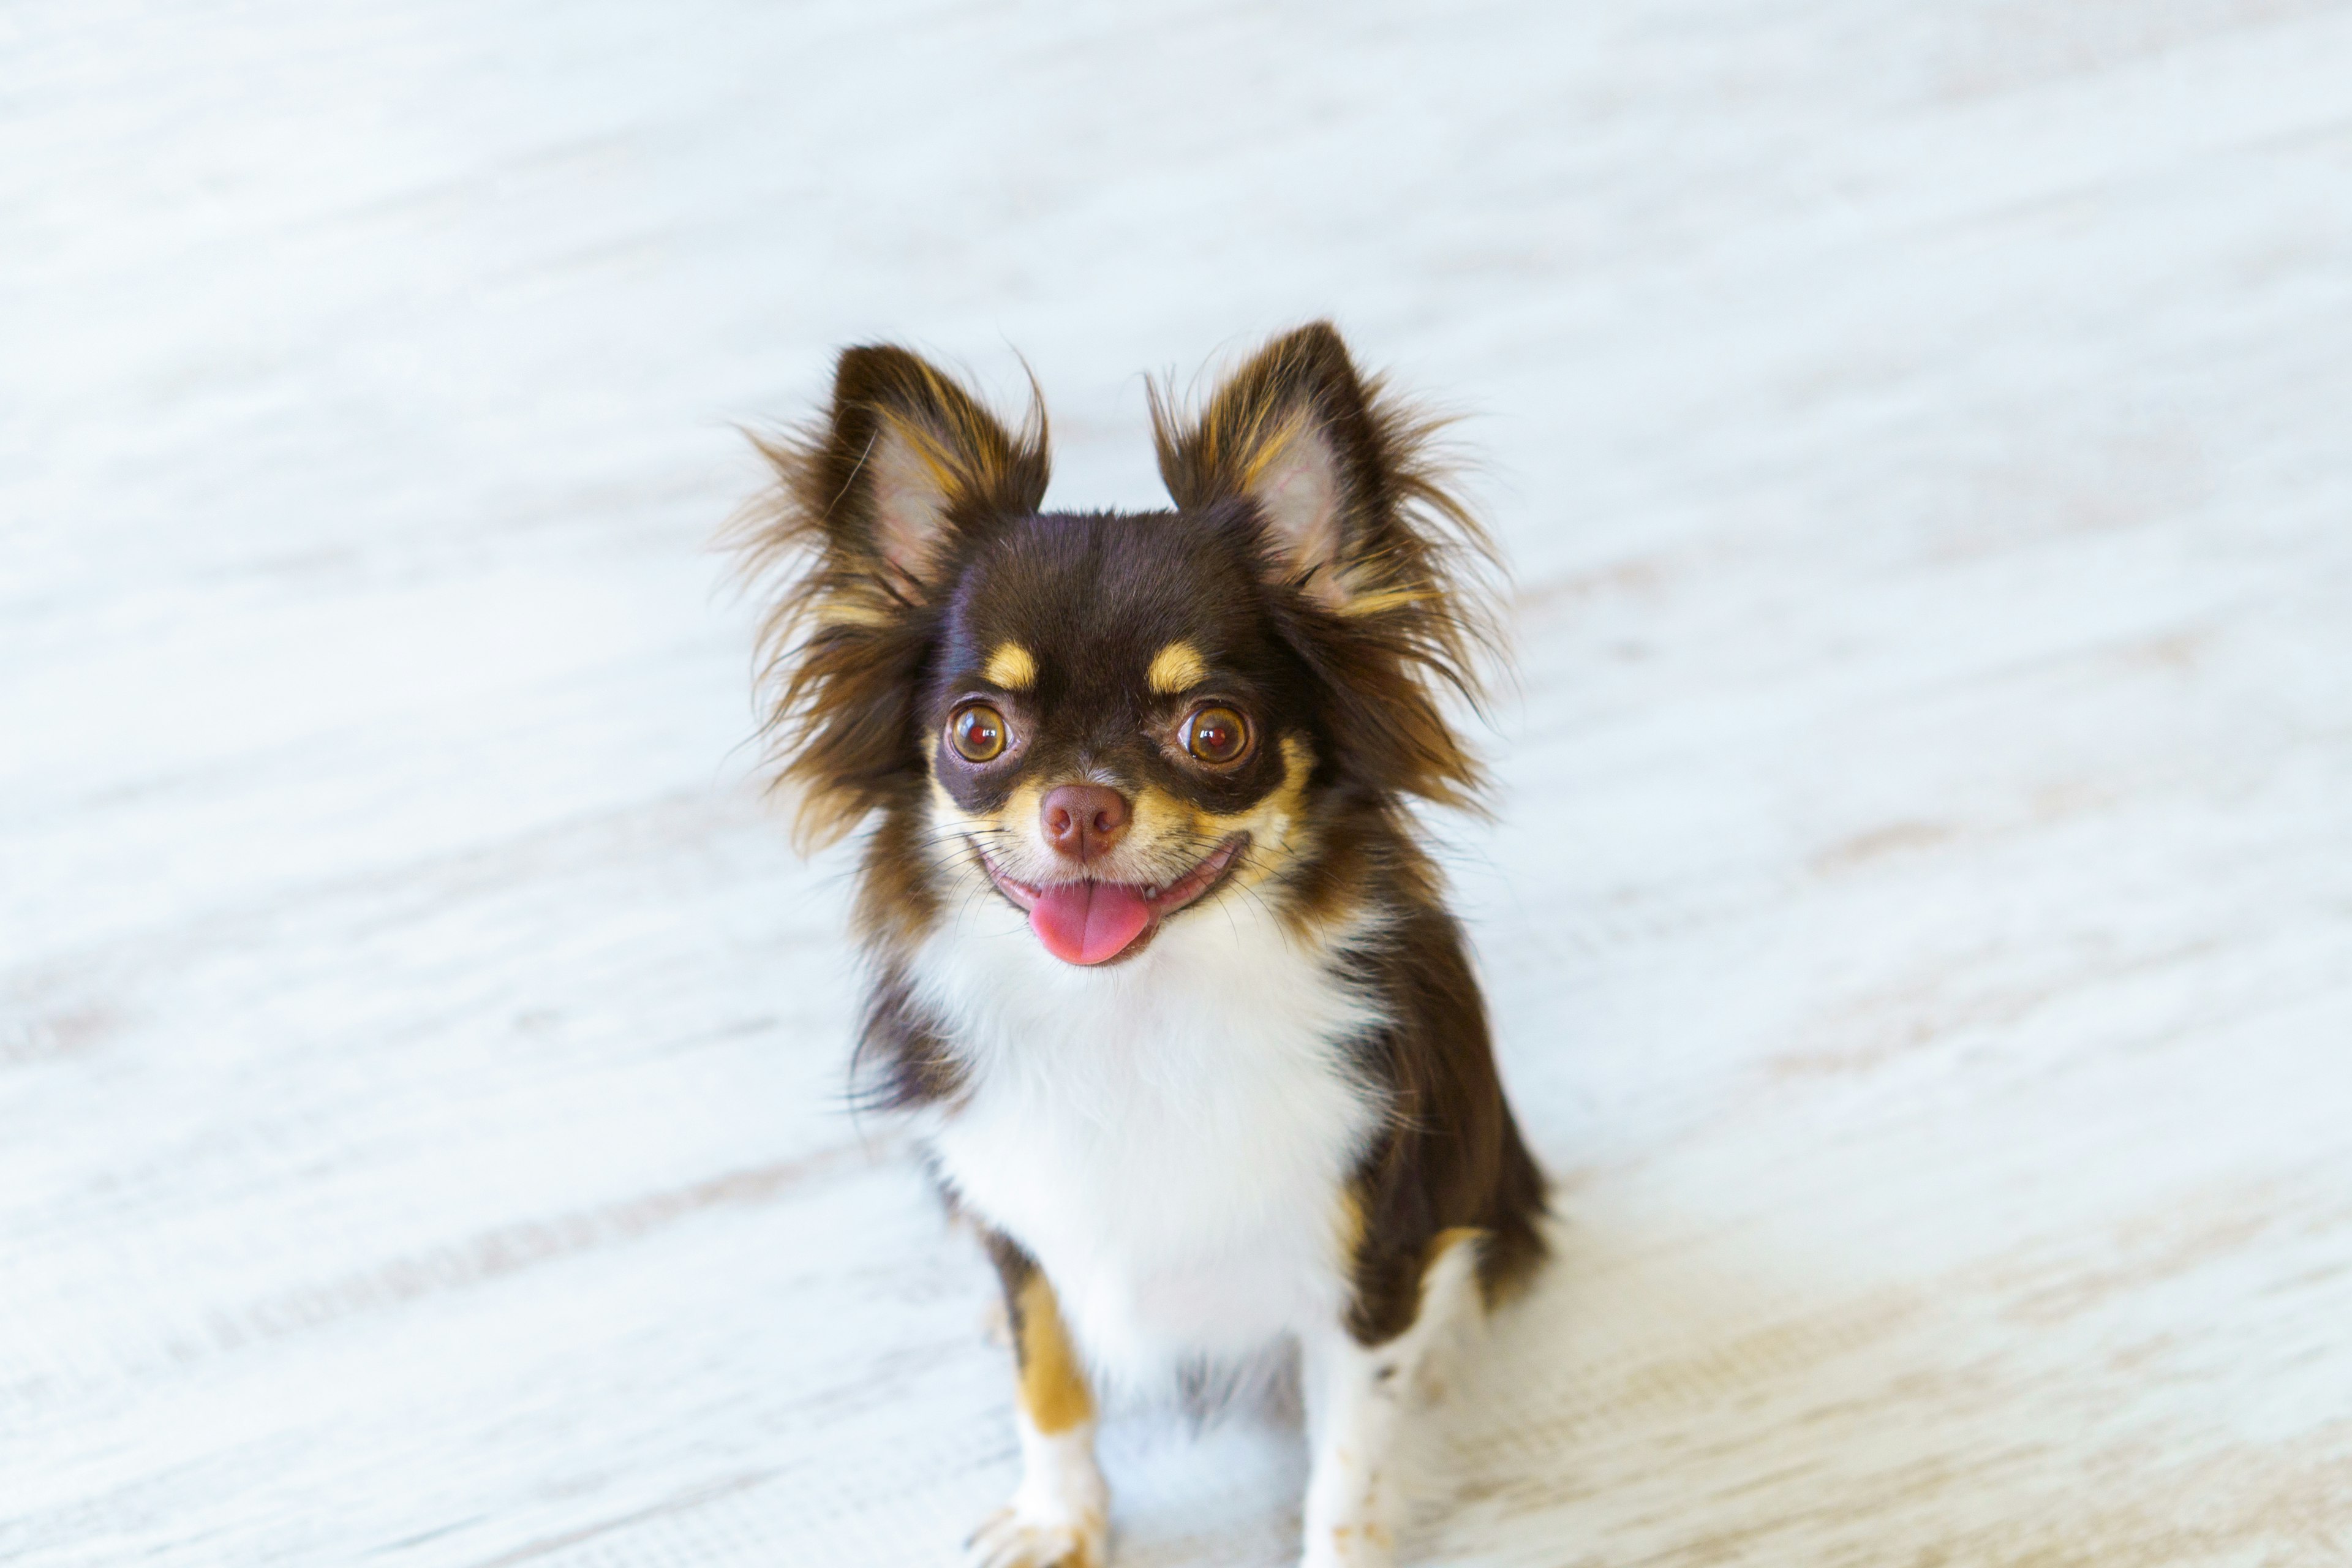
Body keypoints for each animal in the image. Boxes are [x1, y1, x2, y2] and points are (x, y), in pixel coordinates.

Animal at [734, 324, 1543, 1561]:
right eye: (979, 732)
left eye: (1216, 734)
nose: (1082, 807)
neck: (1130, 1012)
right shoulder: (1026, 1228)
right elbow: (1050, 1376)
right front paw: (1059, 1521)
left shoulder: (1368, 1268)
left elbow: (1349, 1470)